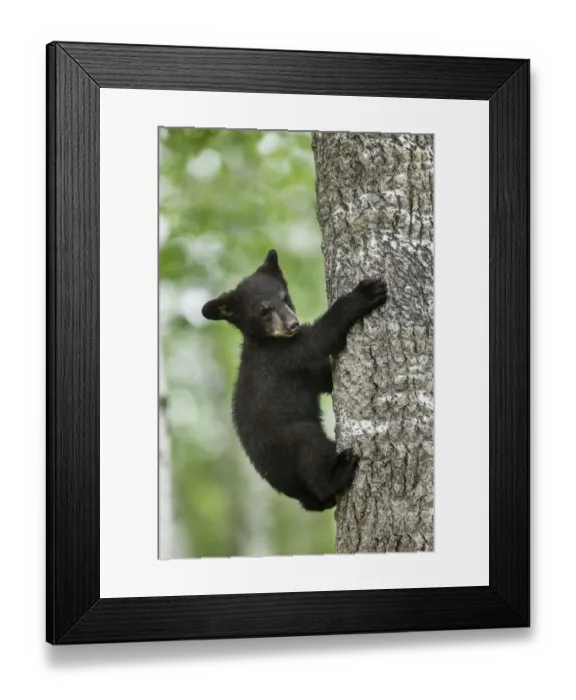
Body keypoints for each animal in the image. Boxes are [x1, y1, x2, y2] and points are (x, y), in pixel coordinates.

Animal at [201, 249, 388, 512]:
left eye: (285, 297)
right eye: (264, 310)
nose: (293, 324)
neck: (266, 340)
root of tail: (301, 496)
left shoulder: (304, 370)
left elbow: (322, 379)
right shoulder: (283, 356)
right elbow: (319, 338)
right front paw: (366, 293)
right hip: (291, 442)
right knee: (312, 453)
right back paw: (341, 472)